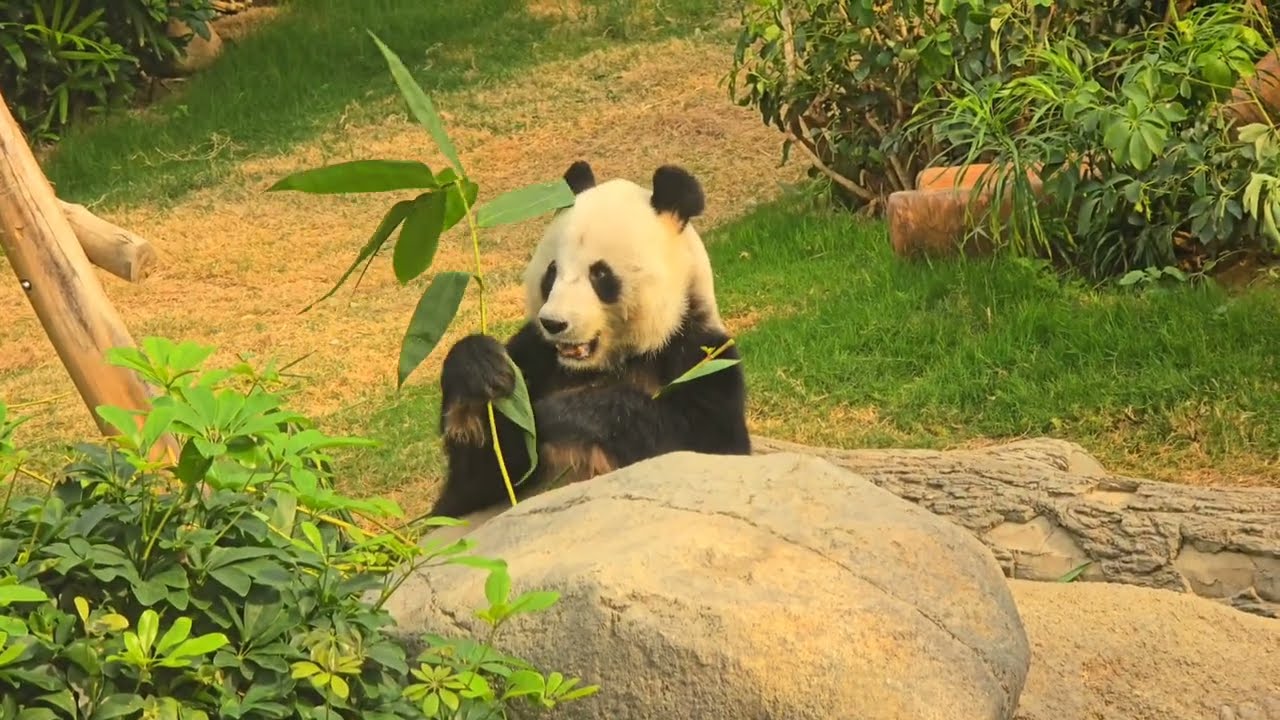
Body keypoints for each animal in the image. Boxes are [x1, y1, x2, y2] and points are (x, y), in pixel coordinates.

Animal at [426, 160, 752, 520]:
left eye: (600, 274)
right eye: (551, 272)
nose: (554, 323)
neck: (604, 364)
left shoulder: (699, 353)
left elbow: (703, 441)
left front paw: (556, 411)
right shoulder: (536, 355)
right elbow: (478, 483)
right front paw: (482, 369)